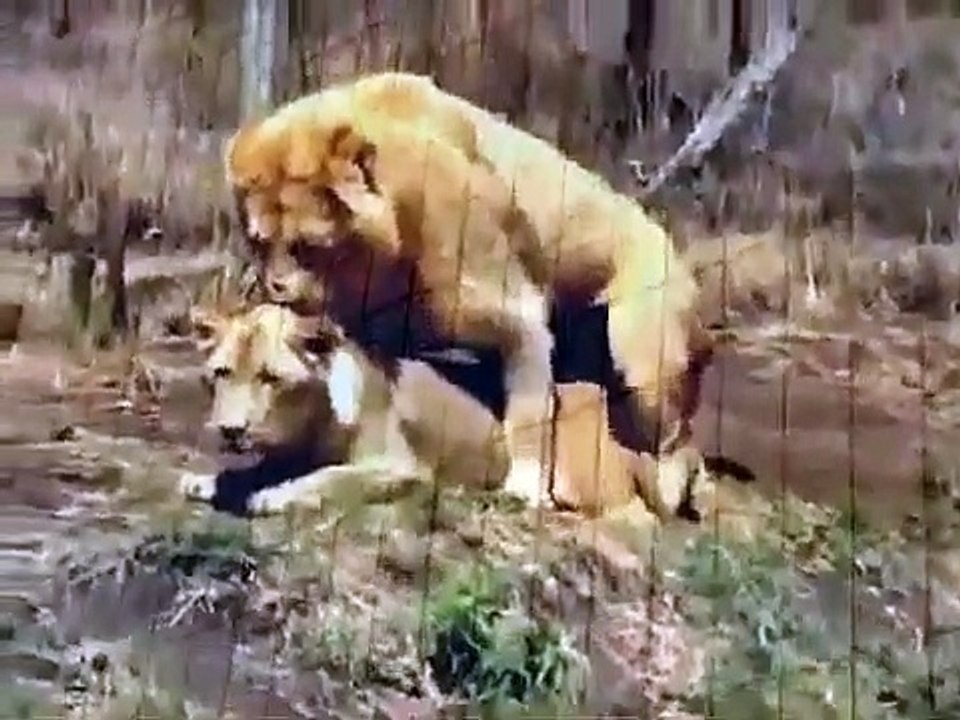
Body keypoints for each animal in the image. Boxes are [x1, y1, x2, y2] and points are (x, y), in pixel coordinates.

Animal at [224, 72, 713, 518]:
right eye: (261, 243)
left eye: (307, 247)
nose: (275, 288)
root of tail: (677, 253)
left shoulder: (518, 312)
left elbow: (529, 408)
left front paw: (525, 486)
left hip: (641, 359)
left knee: (679, 441)